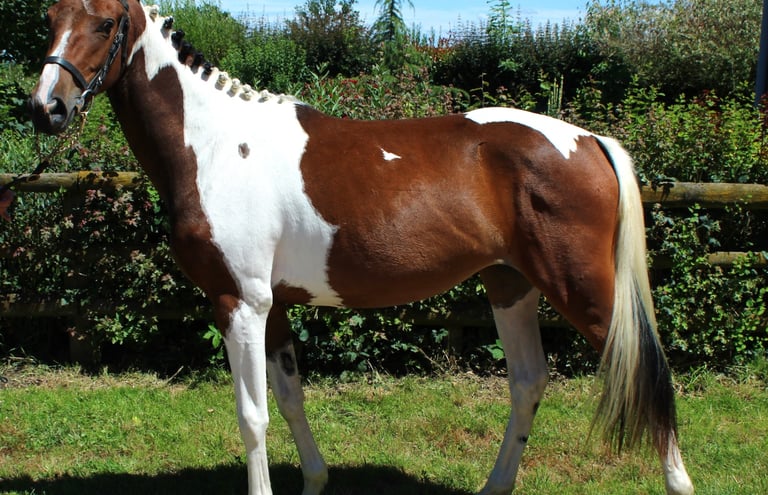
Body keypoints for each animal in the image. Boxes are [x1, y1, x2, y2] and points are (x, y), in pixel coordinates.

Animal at [28, 1, 694, 494]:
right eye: (50, 17)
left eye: (105, 23)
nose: (45, 108)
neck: (214, 144)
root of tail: (588, 140)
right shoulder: (274, 307)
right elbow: (289, 400)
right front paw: (315, 480)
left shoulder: (240, 304)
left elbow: (252, 416)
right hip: (510, 284)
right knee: (529, 381)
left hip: (583, 291)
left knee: (649, 373)